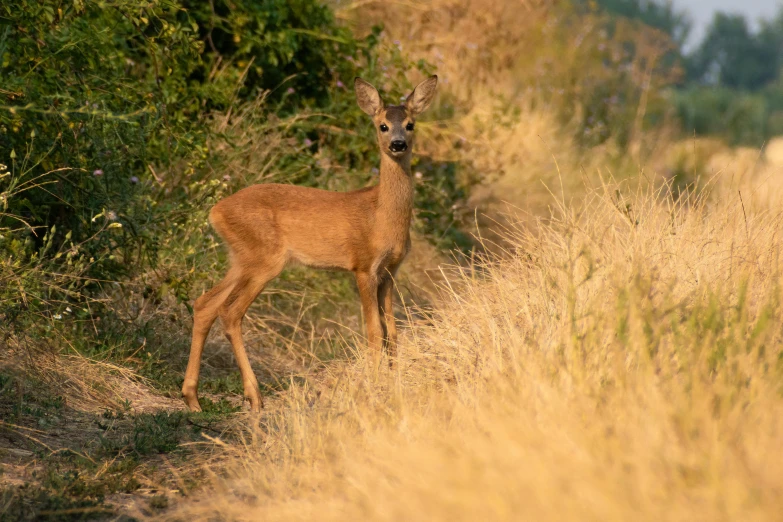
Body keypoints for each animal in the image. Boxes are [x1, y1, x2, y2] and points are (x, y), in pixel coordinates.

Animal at [184, 75, 440, 412]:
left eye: (410, 124)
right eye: (383, 125)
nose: (398, 144)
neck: (381, 216)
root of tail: (215, 211)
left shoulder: (390, 271)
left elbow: (393, 333)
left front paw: (394, 385)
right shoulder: (362, 265)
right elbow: (374, 331)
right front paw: (374, 388)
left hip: (240, 258)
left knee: (206, 303)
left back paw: (193, 397)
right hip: (265, 259)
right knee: (230, 312)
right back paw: (254, 396)